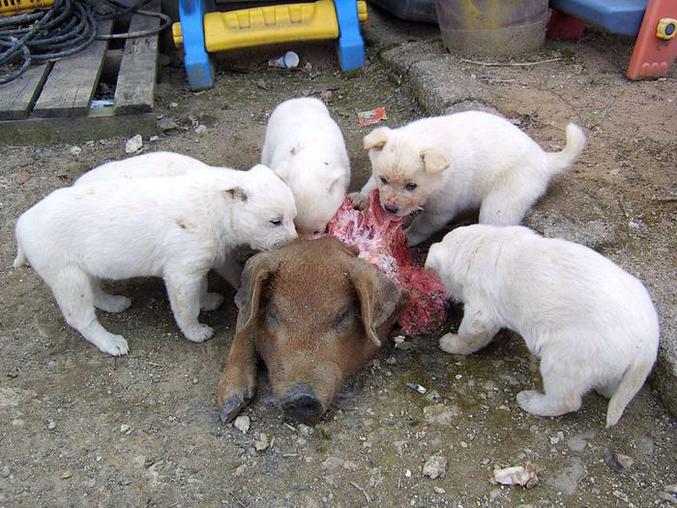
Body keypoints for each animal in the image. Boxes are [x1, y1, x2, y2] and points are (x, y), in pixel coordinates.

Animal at [13, 165, 296, 356]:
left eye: (293, 218)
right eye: (275, 221)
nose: (295, 242)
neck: (218, 206)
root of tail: (22, 223)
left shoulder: (198, 260)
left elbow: (203, 285)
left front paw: (207, 300)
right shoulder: (182, 270)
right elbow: (185, 306)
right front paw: (196, 331)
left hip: (83, 266)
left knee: (94, 290)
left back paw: (113, 303)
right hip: (65, 273)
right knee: (79, 317)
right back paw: (110, 342)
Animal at [354, 111, 588, 246]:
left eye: (412, 186)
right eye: (384, 180)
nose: (389, 209)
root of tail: (543, 158)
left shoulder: (441, 209)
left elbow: (422, 226)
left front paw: (406, 238)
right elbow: (370, 183)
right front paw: (361, 197)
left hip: (501, 203)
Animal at [426, 224, 656, 426]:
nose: (448, 297)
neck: (480, 245)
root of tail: (648, 345)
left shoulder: (481, 304)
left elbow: (473, 330)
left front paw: (451, 343)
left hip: (573, 352)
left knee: (566, 397)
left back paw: (531, 401)